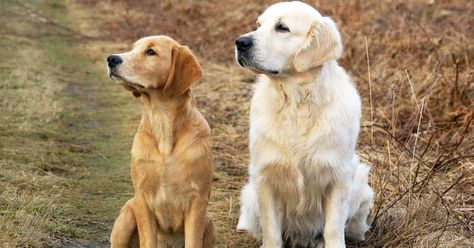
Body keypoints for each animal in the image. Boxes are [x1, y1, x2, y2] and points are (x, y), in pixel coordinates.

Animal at [107, 35, 215, 248]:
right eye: (133, 48)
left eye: (151, 52)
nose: (111, 59)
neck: (162, 120)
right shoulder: (142, 200)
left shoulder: (197, 201)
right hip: (127, 215)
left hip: (209, 223)